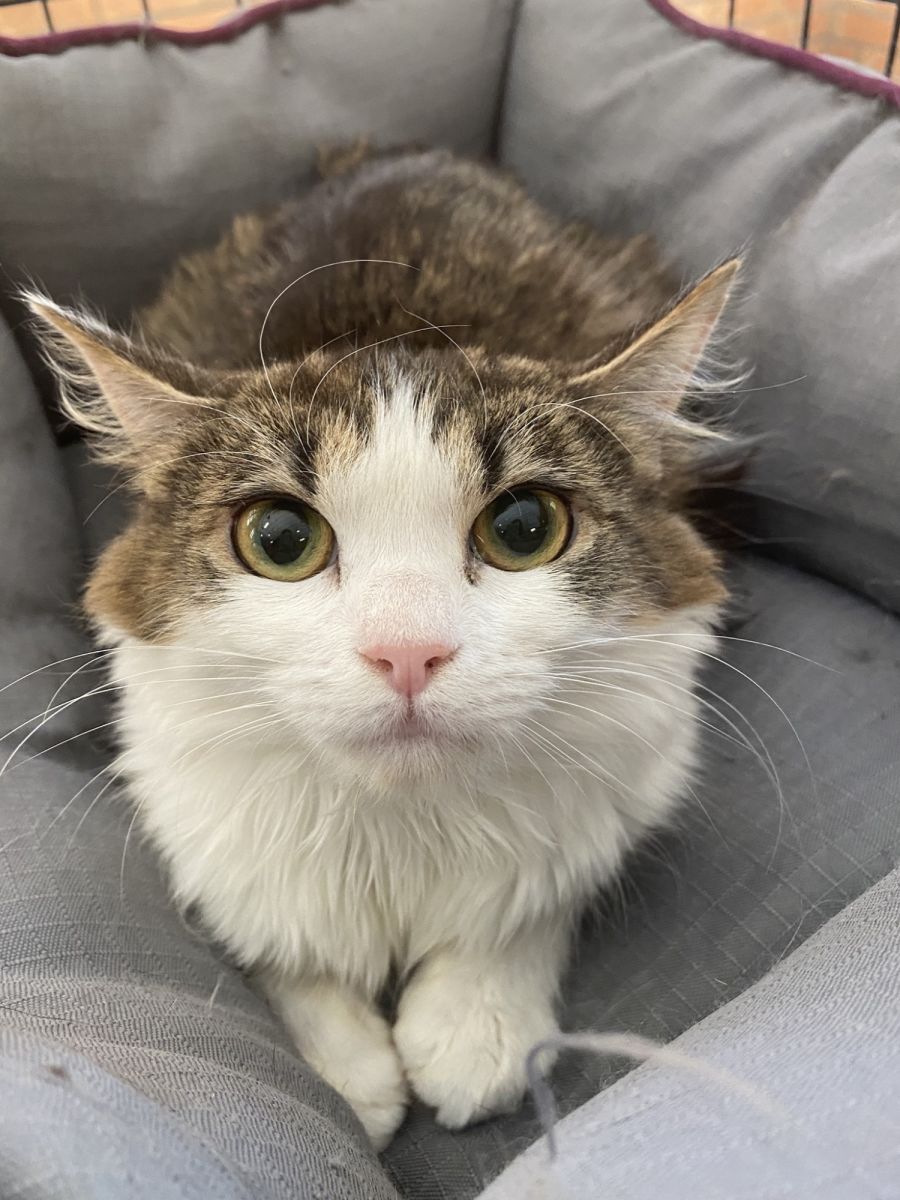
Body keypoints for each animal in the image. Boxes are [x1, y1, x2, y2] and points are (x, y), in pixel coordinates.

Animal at [27, 148, 738, 1150]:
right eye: (280, 540)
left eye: (525, 529)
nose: (408, 652)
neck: (401, 827)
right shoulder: (192, 808)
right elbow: (275, 934)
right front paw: (348, 1071)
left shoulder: (630, 767)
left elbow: (537, 897)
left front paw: (477, 1025)